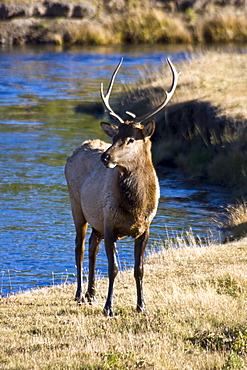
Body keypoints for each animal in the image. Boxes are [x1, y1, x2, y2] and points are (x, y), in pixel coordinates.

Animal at [64, 57, 178, 316]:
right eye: (115, 137)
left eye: (131, 139)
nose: (105, 156)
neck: (134, 207)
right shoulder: (110, 224)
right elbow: (114, 268)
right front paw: (109, 308)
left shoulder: (145, 228)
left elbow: (139, 269)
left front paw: (141, 305)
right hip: (77, 207)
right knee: (79, 248)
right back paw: (79, 295)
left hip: (95, 217)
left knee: (91, 246)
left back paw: (91, 293)